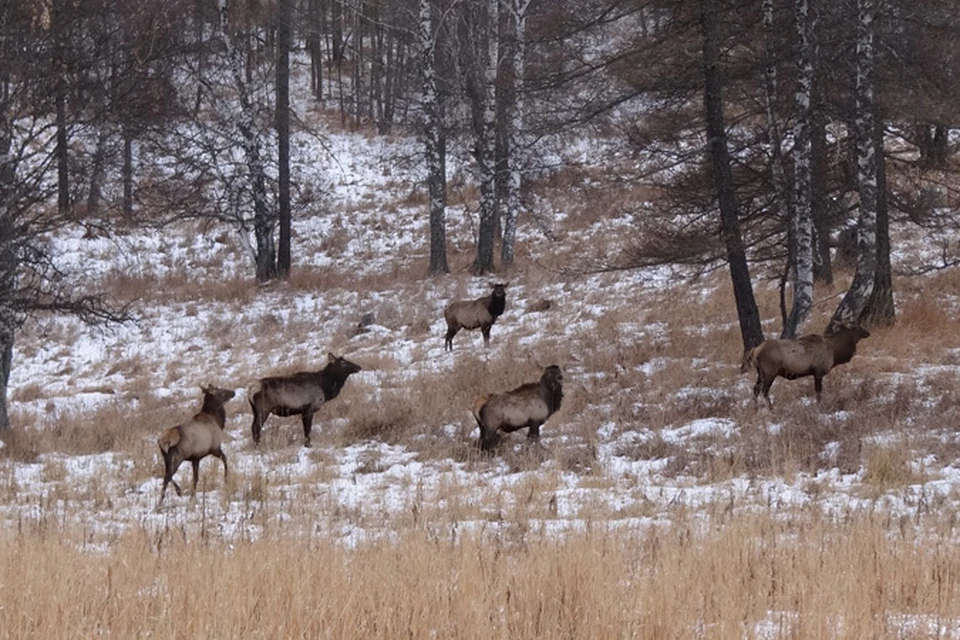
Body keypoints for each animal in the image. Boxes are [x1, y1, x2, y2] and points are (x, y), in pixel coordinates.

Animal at [744, 322, 872, 408]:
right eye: (856, 327)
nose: (867, 332)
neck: (834, 352)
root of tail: (754, 351)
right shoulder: (818, 371)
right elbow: (818, 391)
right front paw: (818, 406)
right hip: (770, 371)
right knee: (764, 390)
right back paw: (771, 409)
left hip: (760, 372)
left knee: (756, 388)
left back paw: (755, 409)